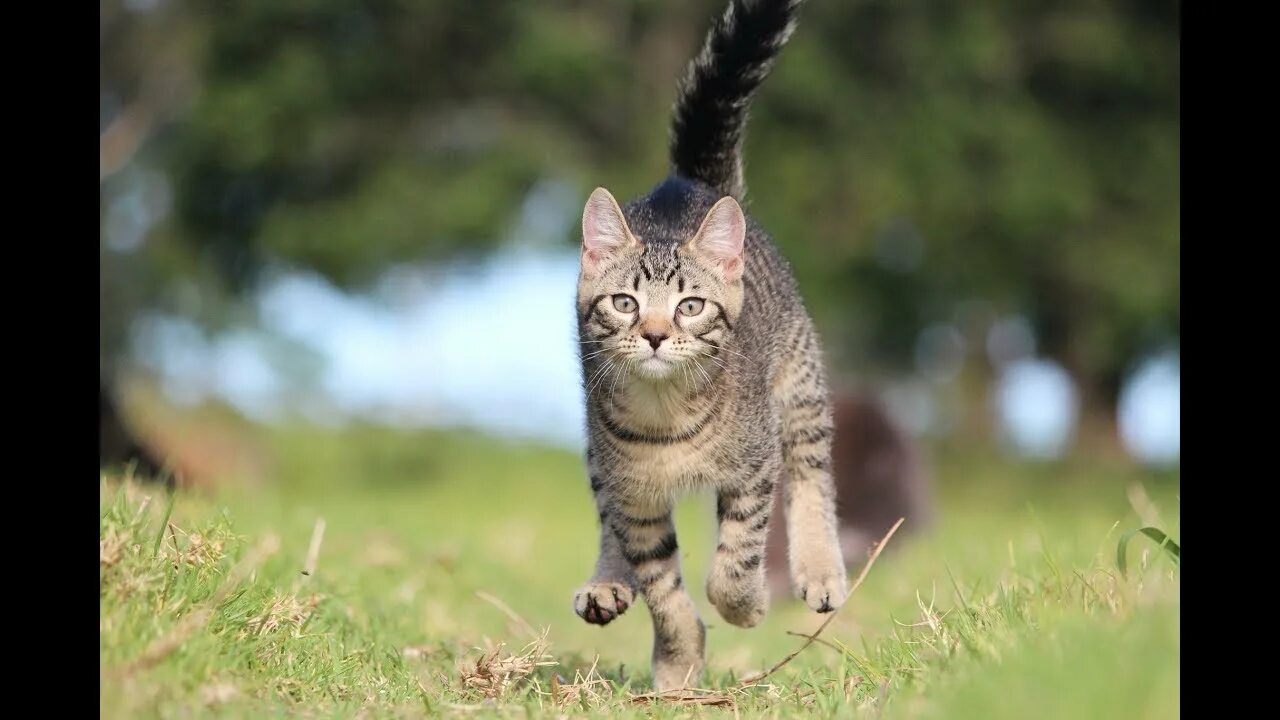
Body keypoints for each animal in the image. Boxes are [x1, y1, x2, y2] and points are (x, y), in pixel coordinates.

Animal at [576, 0, 844, 686]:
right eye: (625, 303)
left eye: (690, 306)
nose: (654, 335)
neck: (667, 411)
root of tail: (687, 185)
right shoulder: (636, 498)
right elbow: (663, 588)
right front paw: (677, 661)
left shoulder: (754, 466)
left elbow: (738, 552)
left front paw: (745, 605)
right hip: (598, 452)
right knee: (606, 516)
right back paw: (607, 582)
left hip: (799, 385)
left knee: (812, 471)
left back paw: (821, 569)